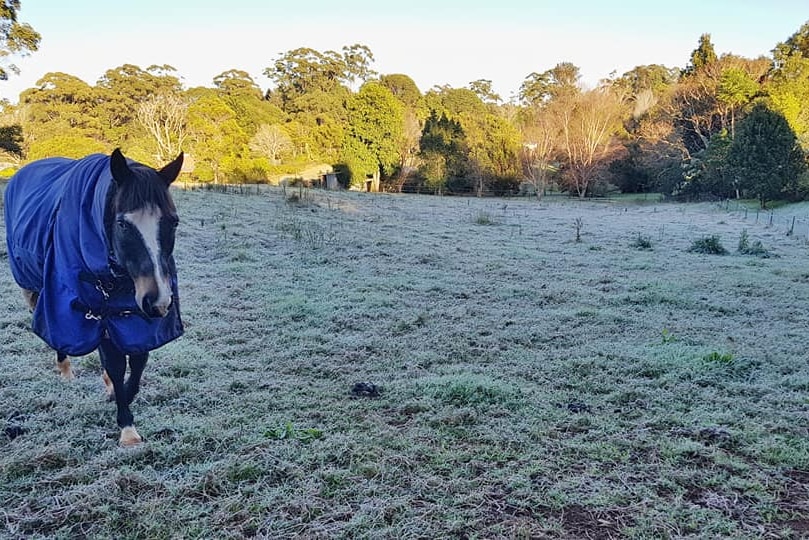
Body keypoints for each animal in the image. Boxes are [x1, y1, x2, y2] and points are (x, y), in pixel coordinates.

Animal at [5, 149, 185, 448]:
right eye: (122, 224)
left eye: (173, 221)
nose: (158, 301)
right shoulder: (94, 305)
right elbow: (116, 364)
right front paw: (127, 428)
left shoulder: (130, 313)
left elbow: (137, 362)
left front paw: (117, 393)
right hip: (37, 288)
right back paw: (65, 370)